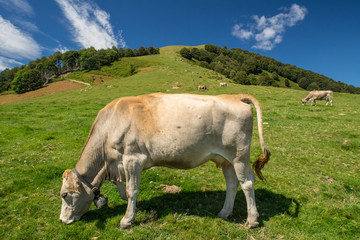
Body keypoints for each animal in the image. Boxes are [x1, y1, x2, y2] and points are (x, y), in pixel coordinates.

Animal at [59, 92, 270, 229]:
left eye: (64, 195)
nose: (62, 220)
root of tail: (234, 96)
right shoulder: (118, 164)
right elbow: (123, 192)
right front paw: (133, 211)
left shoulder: (132, 159)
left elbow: (131, 190)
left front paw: (126, 221)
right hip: (226, 160)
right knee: (232, 184)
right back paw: (224, 213)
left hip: (239, 156)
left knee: (247, 183)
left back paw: (252, 221)